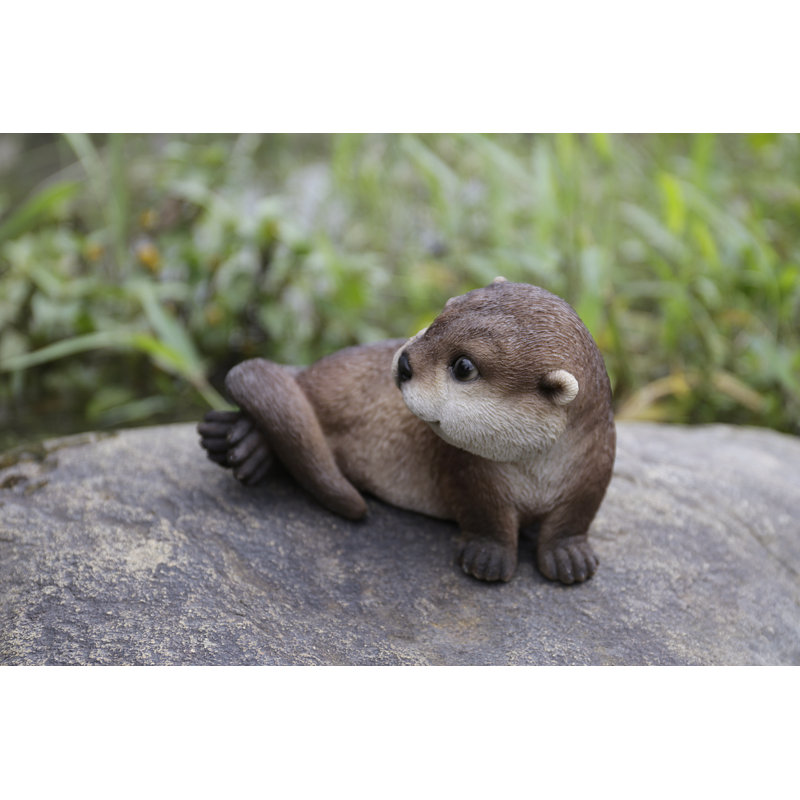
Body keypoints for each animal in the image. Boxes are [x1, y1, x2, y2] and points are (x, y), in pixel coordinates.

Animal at [198, 279, 616, 584]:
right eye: (441, 315)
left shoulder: (595, 466)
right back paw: (236, 443)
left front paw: (569, 557)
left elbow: (575, 516)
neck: (537, 470)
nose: (403, 362)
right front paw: (489, 557)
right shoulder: (470, 471)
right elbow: (486, 514)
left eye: (464, 366)